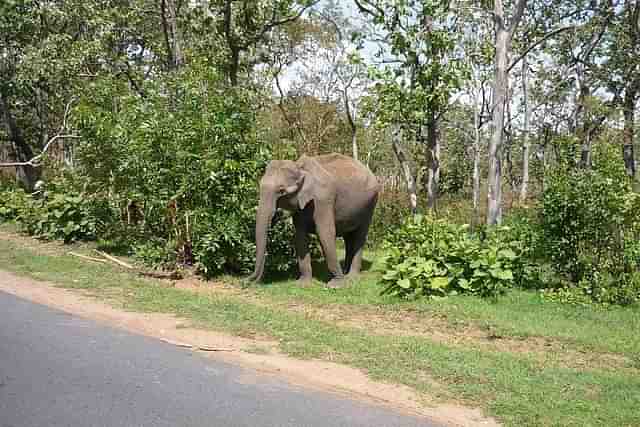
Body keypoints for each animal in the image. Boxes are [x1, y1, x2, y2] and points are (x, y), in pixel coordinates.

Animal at [249, 152, 380, 290]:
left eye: (281, 191)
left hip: (371, 204)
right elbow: (300, 236)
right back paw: (346, 272)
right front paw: (303, 284)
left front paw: (336, 285)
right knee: (348, 237)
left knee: (360, 235)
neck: (299, 167)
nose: (248, 281)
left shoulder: (323, 200)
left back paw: (352, 277)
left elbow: (325, 233)